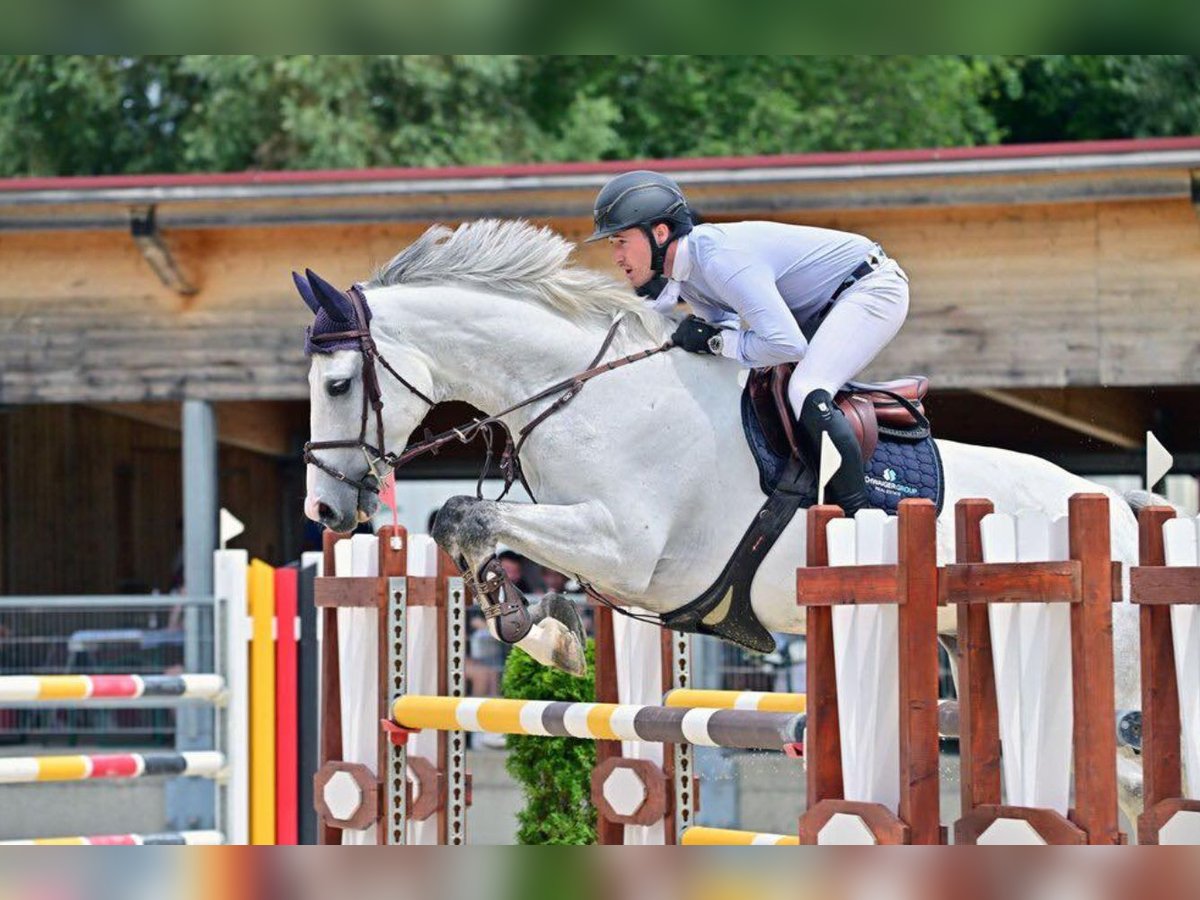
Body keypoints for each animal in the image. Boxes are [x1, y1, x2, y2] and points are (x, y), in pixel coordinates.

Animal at [300, 218, 1149, 826]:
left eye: (338, 384)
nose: (327, 511)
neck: (585, 392)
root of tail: (1114, 504)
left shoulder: (626, 548)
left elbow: (467, 515)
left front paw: (538, 632)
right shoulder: (589, 541)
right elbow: (467, 524)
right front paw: (543, 627)